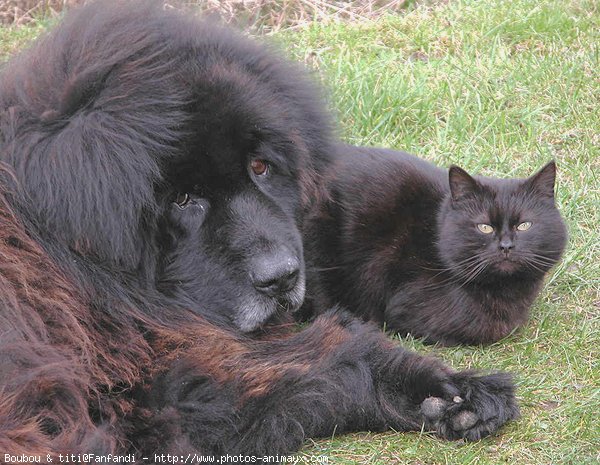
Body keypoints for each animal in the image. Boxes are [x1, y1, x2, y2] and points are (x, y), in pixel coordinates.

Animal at [0, 0, 516, 456]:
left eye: (262, 167)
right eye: (182, 199)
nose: (281, 277)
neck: (63, 248)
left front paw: (451, 396)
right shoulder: (152, 376)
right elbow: (321, 356)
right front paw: (445, 391)